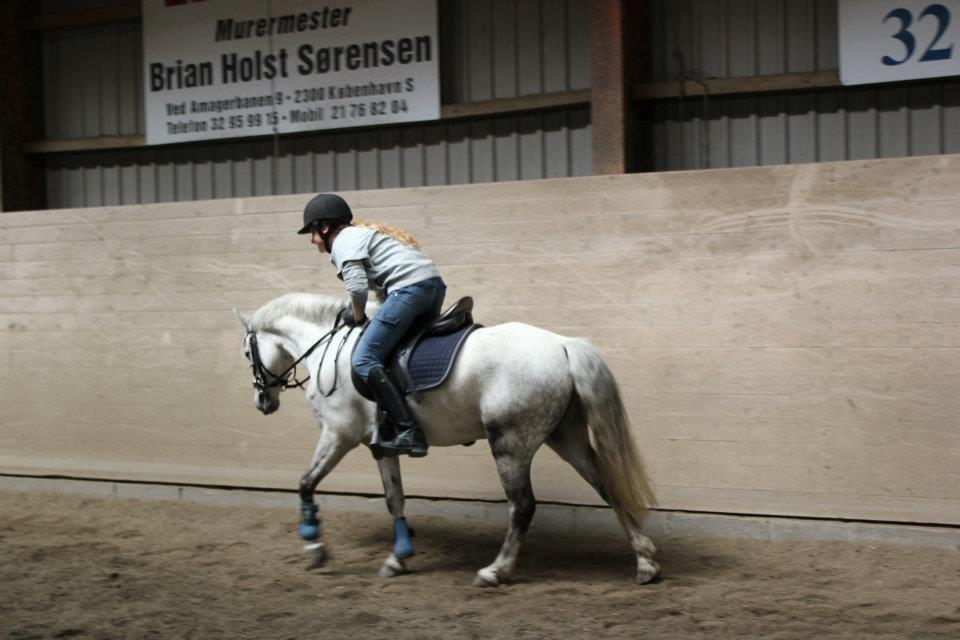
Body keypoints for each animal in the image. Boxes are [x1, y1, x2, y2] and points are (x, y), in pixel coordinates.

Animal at [234, 292, 660, 586]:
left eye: (247, 352)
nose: (262, 402)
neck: (330, 350)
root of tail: (561, 344)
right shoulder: (380, 446)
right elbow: (394, 498)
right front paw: (399, 557)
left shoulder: (338, 434)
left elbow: (306, 483)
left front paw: (314, 546)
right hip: (565, 436)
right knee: (608, 486)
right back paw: (646, 563)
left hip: (510, 444)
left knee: (523, 506)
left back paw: (495, 571)